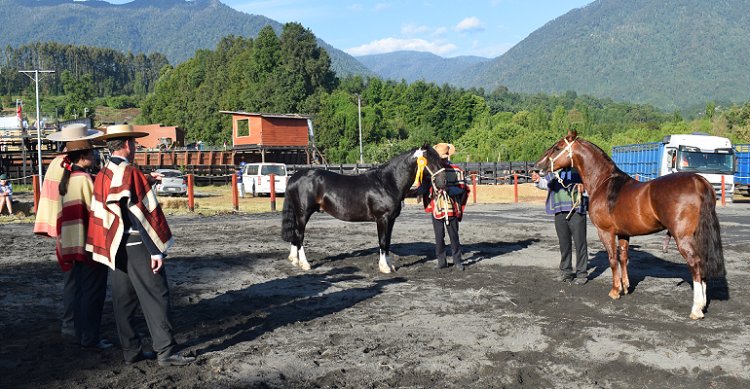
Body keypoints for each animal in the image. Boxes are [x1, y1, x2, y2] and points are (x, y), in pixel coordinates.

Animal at [282, 146, 446, 272]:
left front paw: (390, 265)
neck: (387, 182)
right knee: (300, 235)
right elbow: (382, 241)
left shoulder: (391, 220)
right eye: (432, 162)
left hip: (299, 214)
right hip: (303, 214)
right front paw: (384, 268)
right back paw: (305, 264)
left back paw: (294, 260)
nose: (443, 182)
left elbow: (387, 242)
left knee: (295, 234)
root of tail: (294, 177)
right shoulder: (382, 219)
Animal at [536, 130, 724, 318]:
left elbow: (613, 259)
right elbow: (623, 258)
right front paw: (625, 287)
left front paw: (615, 291)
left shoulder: (606, 232)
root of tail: (699, 181)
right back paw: (702, 304)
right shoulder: (624, 234)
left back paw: (696, 309)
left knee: (696, 264)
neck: (603, 182)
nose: (537, 167)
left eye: (558, 147)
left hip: (683, 238)